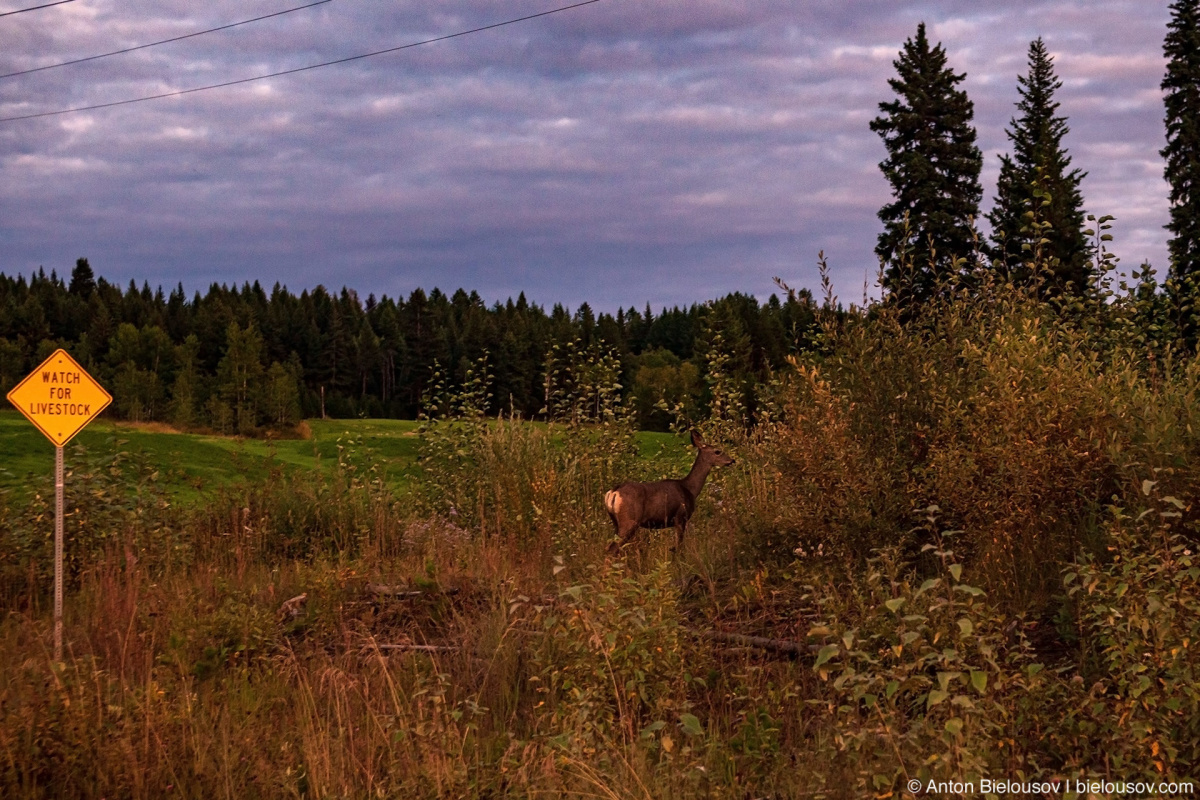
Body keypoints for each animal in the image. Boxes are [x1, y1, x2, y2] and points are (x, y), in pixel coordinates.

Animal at [604, 429, 734, 554]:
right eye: (718, 451)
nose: (732, 460)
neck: (690, 489)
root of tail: (614, 492)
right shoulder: (680, 517)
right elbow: (679, 548)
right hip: (630, 520)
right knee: (612, 549)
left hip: (616, 521)